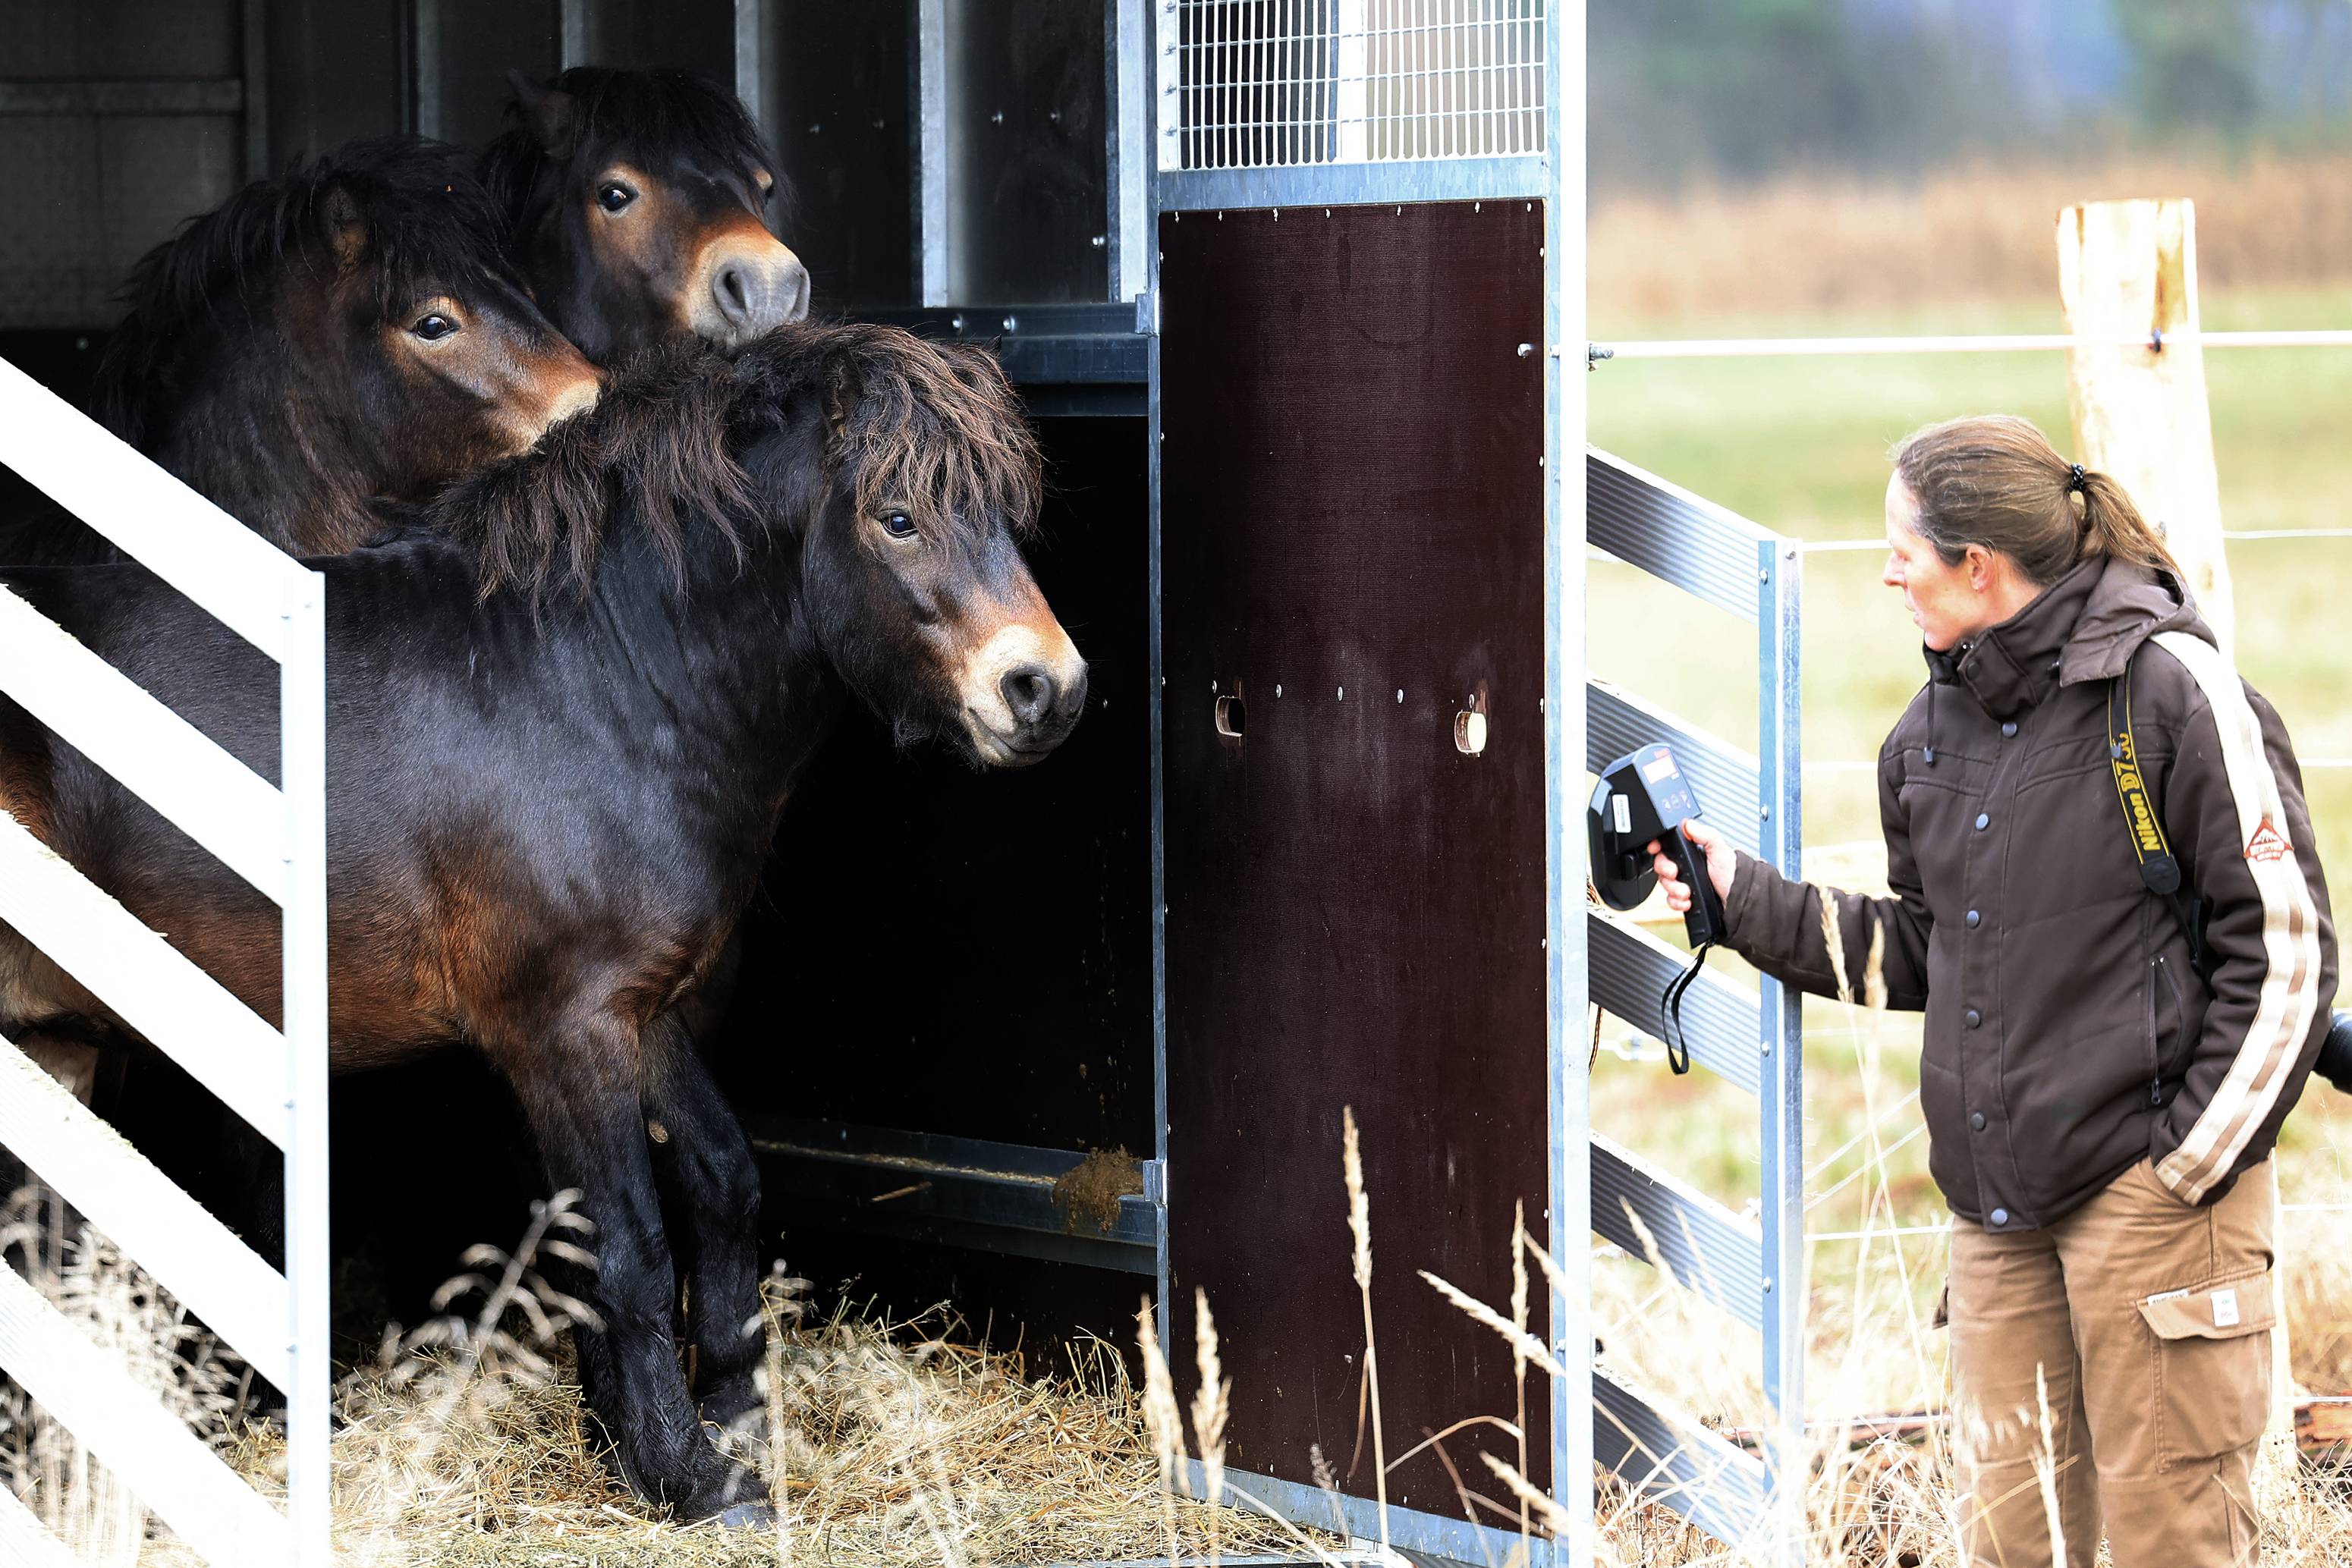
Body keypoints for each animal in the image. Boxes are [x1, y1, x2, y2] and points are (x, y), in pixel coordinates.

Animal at [0, 328, 1082, 1523]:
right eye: (897, 518)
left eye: (1005, 516)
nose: (1044, 688)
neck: (588, 678)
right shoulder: (565, 1030)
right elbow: (629, 1244)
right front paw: (692, 1473)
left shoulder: (641, 1009)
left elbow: (719, 1181)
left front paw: (709, 1424)